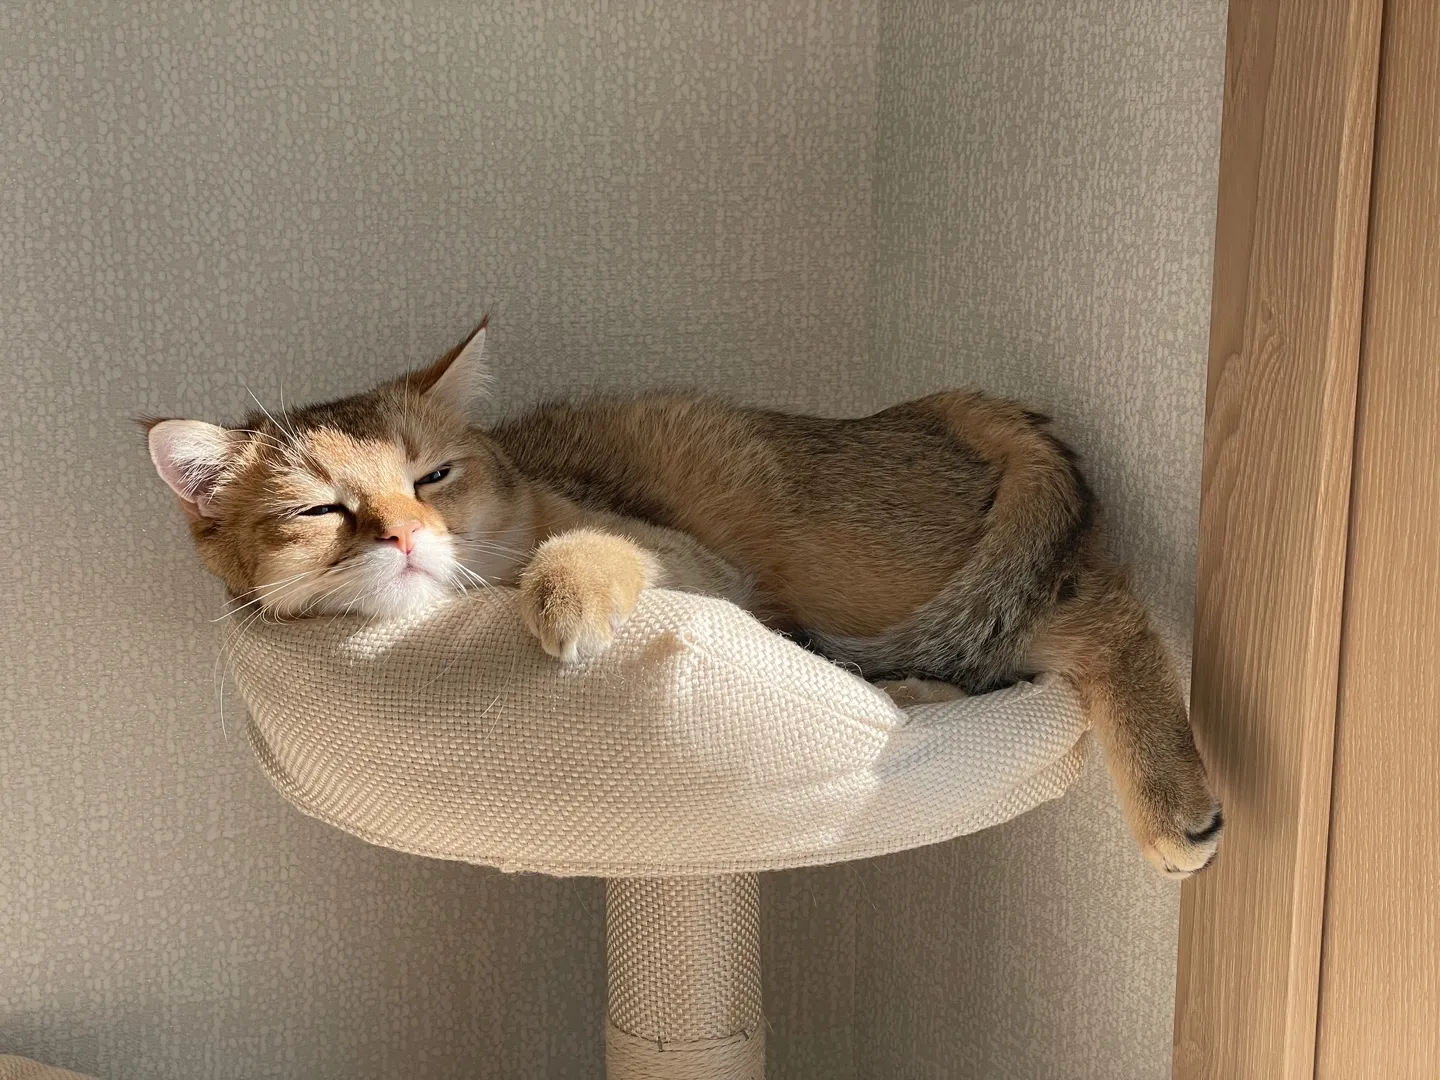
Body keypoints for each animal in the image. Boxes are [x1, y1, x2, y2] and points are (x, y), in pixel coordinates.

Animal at [145, 318, 1221, 878]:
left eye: (434, 475)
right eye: (320, 509)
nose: (408, 536)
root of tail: (926, 405)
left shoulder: (698, 564)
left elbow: (585, 547)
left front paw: (564, 595)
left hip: (861, 570)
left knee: (1101, 609)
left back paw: (1174, 802)